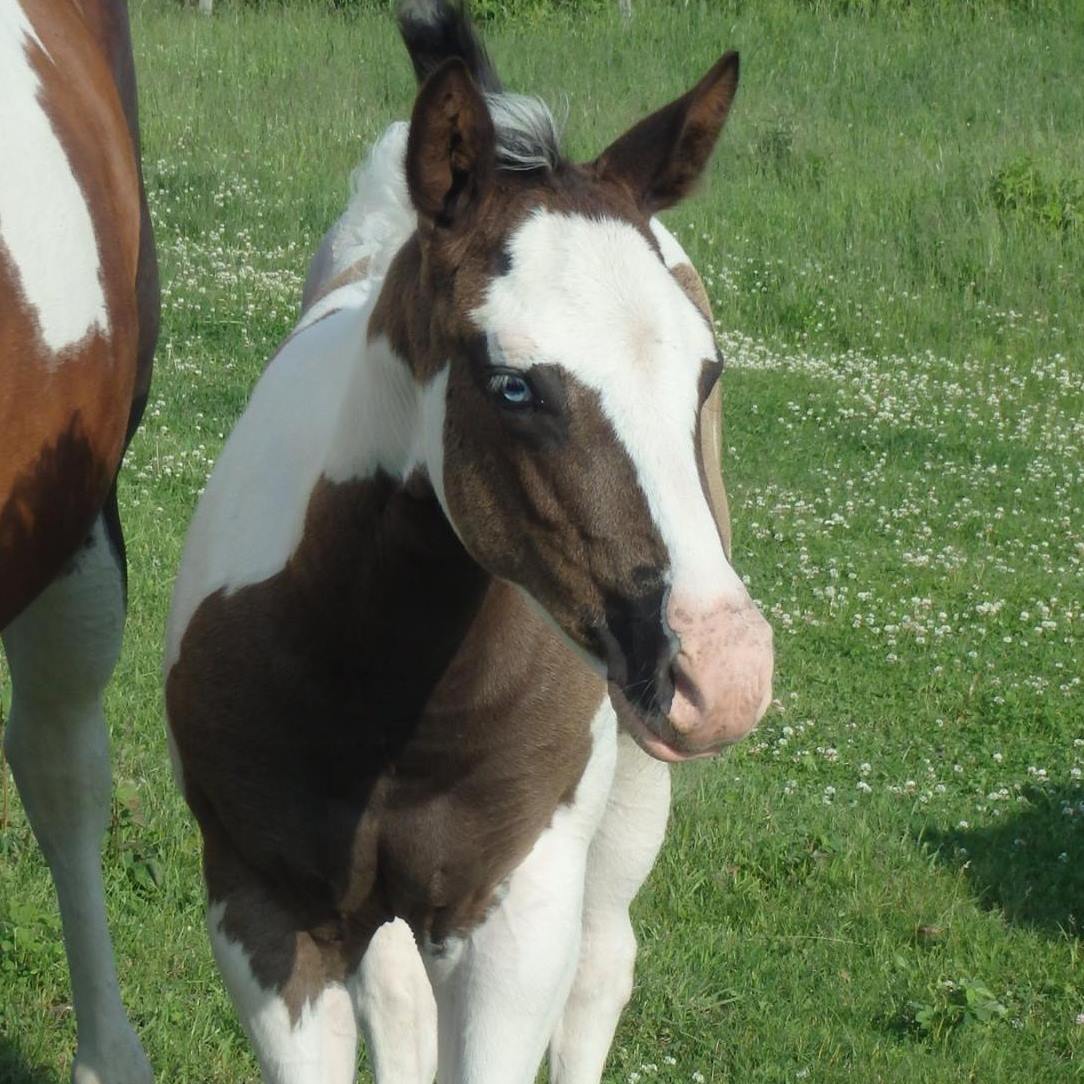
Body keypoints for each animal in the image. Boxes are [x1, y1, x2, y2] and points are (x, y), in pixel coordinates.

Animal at [162, 4, 771, 1079]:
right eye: (515, 386)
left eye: (708, 372)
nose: (728, 671)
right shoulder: (262, 914)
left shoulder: (515, 921)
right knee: (401, 992)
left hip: (631, 789)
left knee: (605, 962)